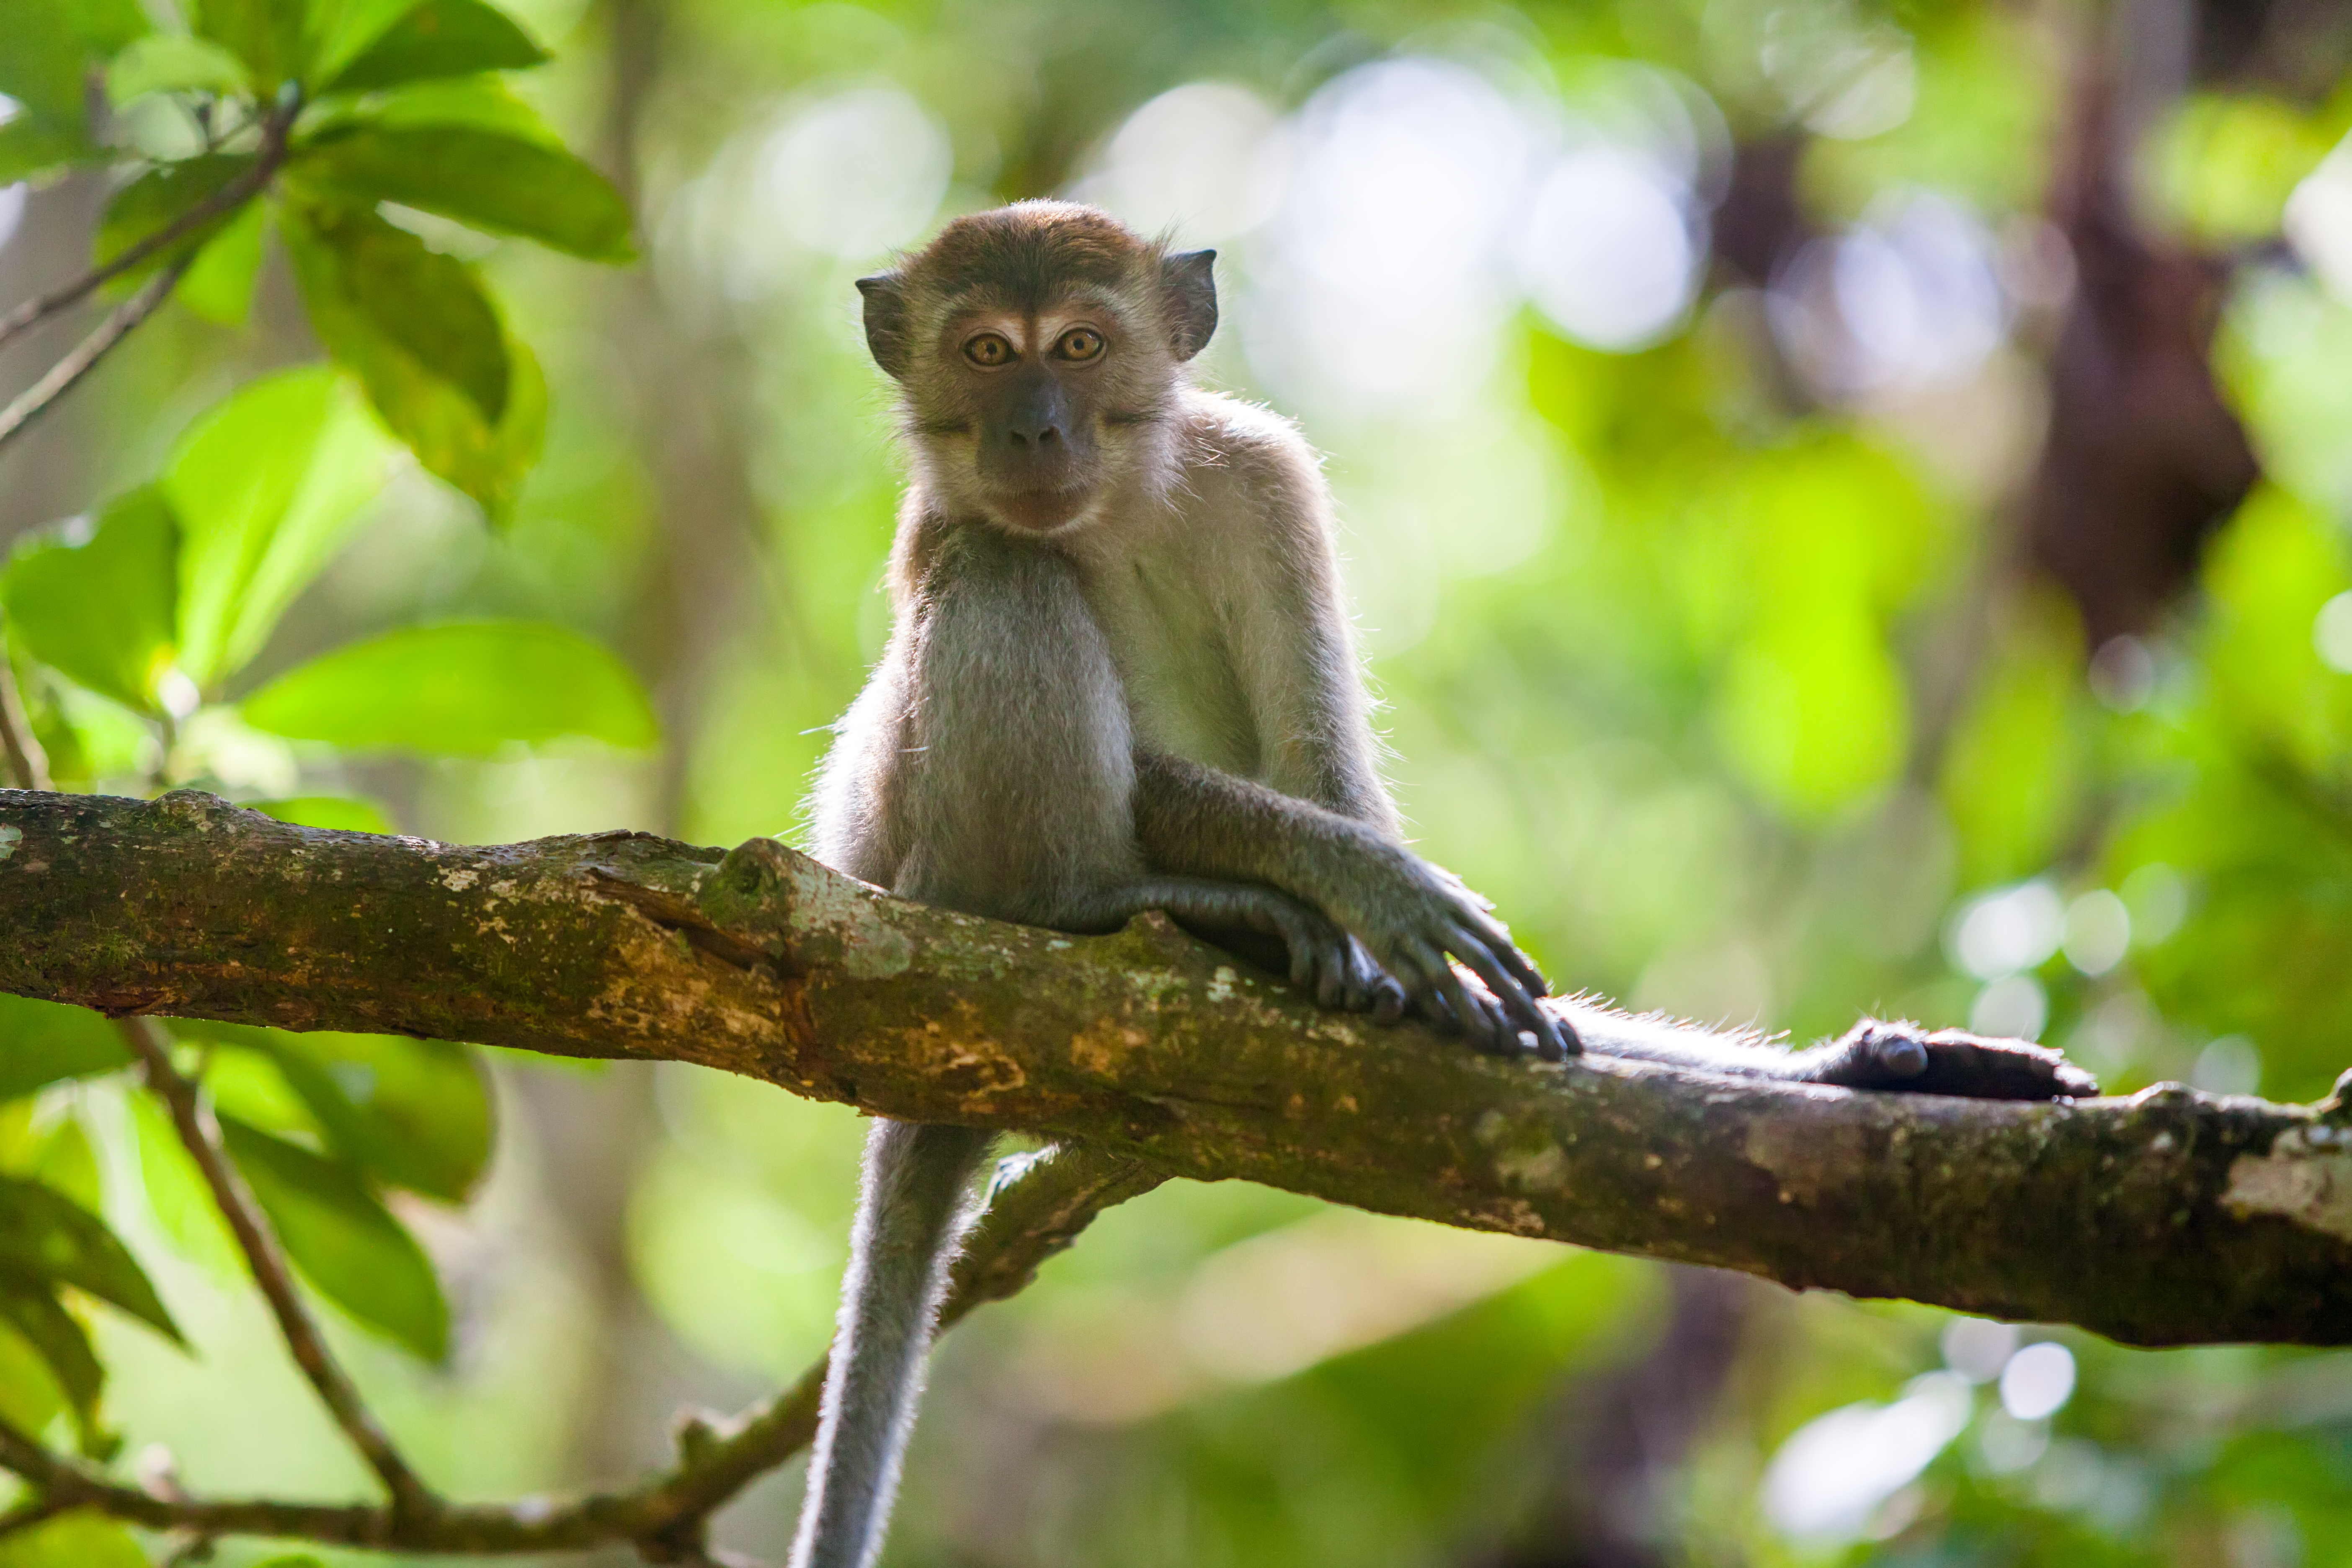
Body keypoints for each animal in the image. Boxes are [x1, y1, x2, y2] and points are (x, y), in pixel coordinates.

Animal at [794, 202, 2094, 1568]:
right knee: (1005, 578)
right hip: (913, 857)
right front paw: (1374, 885)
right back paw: (1084, 902)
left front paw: (1864, 1067)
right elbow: (1198, 767)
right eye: (987, 352)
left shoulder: (1266, 478)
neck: (1115, 507)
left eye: (1079, 345)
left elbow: (1323, 764)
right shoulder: (944, 523)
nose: (1034, 428)